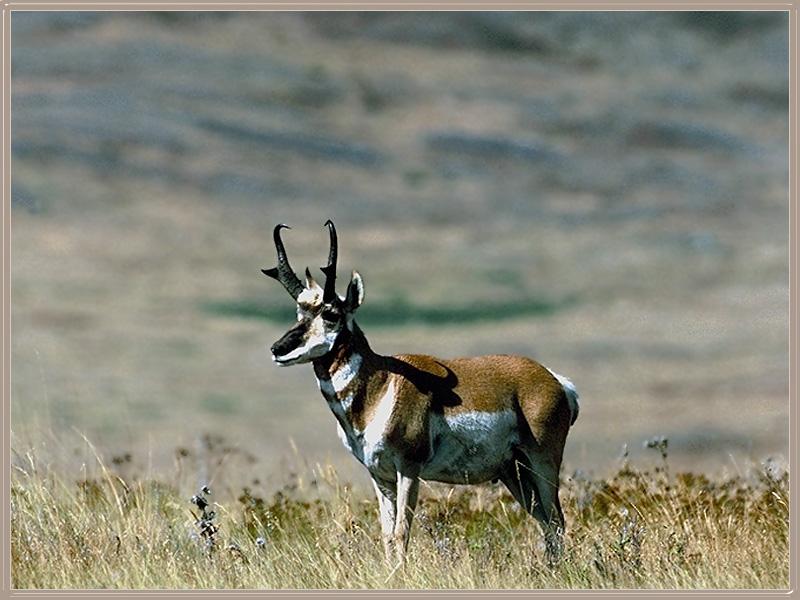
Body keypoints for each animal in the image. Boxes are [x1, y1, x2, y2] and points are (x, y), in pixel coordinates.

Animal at [266, 220, 580, 564]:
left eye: (330, 314)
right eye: (299, 313)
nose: (278, 349)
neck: (381, 384)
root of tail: (554, 380)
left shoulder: (408, 471)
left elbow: (401, 533)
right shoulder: (380, 475)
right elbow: (387, 535)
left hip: (542, 463)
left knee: (557, 521)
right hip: (514, 472)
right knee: (546, 523)